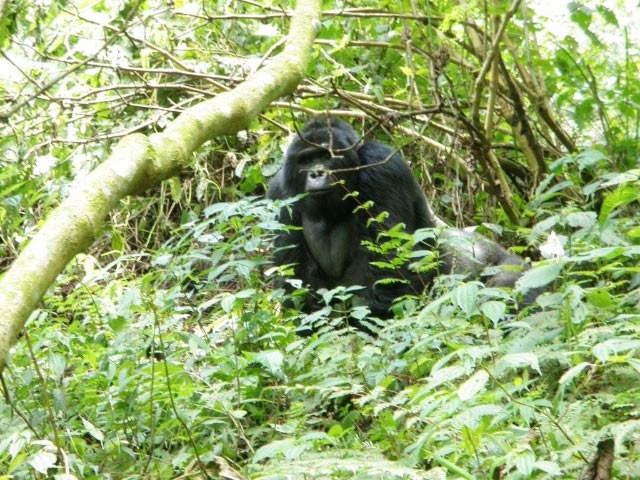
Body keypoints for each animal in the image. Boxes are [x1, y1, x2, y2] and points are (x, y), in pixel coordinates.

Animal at [268, 118, 528, 328]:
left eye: (325, 155)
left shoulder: (381, 166)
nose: (315, 174)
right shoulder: (279, 193)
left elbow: (387, 272)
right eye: (305, 160)